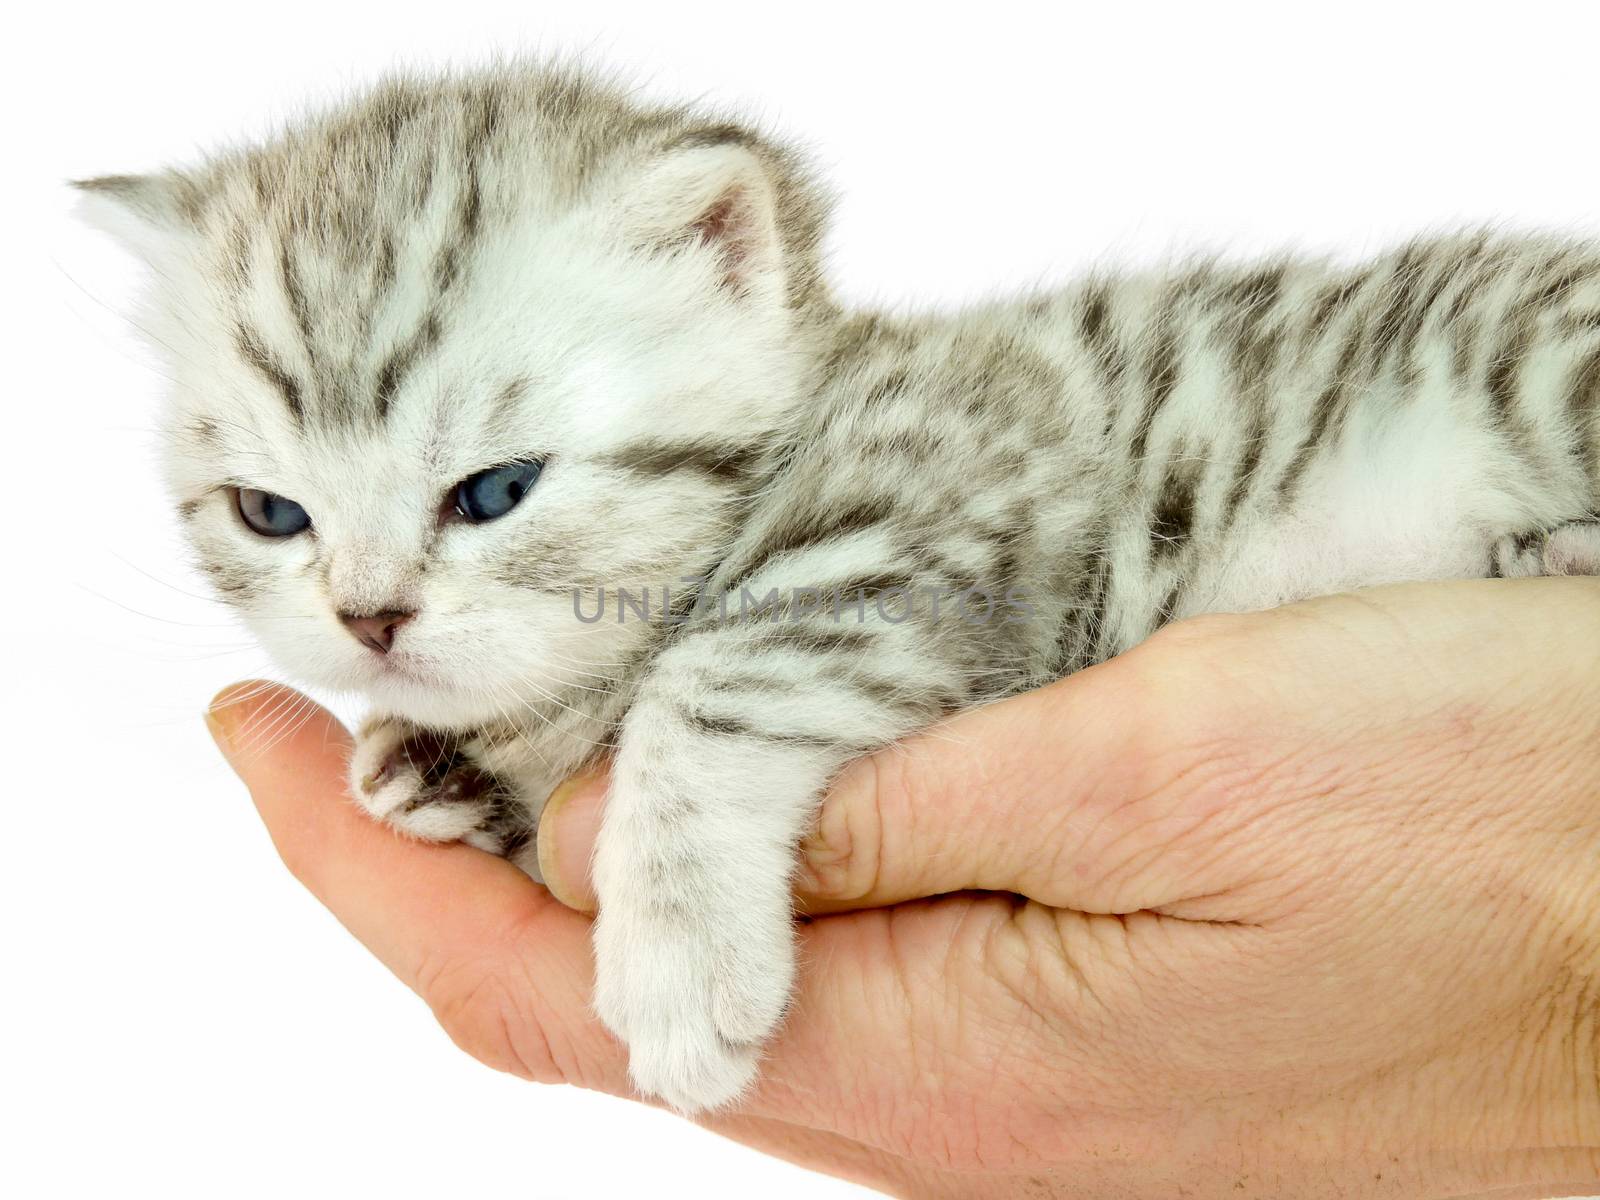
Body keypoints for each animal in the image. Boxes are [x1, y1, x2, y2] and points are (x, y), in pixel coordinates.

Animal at [81, 63, 1600, 1120]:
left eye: (497, 490)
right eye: (272, 513)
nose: (370, 618)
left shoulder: (964, 475)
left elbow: (720, 671)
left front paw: (679, 951)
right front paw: (439, 768)